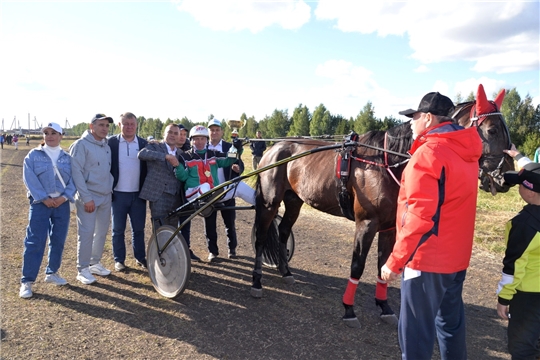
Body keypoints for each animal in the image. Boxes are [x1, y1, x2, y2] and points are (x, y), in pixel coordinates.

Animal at [253, 86, 516, 328]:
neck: (386, 161)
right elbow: (358, 265)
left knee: (283, 231)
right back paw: (256, 281)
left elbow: (383, 266)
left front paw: (384, 307)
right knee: (262, 236)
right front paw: (349, 309)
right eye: (492, 130)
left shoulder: (390, 227)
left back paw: (285, 272)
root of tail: (274, 148)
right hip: (269, 202)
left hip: (294, 200)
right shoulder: (367, 223)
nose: (508, 176)